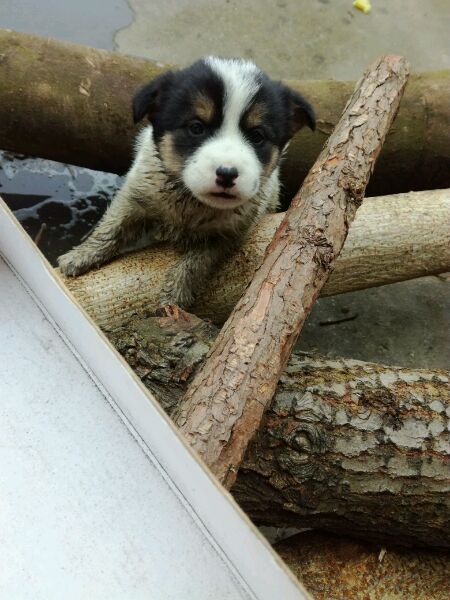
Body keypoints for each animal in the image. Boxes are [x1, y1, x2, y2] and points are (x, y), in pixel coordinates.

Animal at [58, 56, 314, 308]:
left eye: (257, 136)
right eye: (196, 127)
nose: (227, 173)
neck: (189, 200)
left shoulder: (229, 233)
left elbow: (197, 262)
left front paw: (175, 294)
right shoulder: (138, 192)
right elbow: (113, 224)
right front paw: (82, 255)